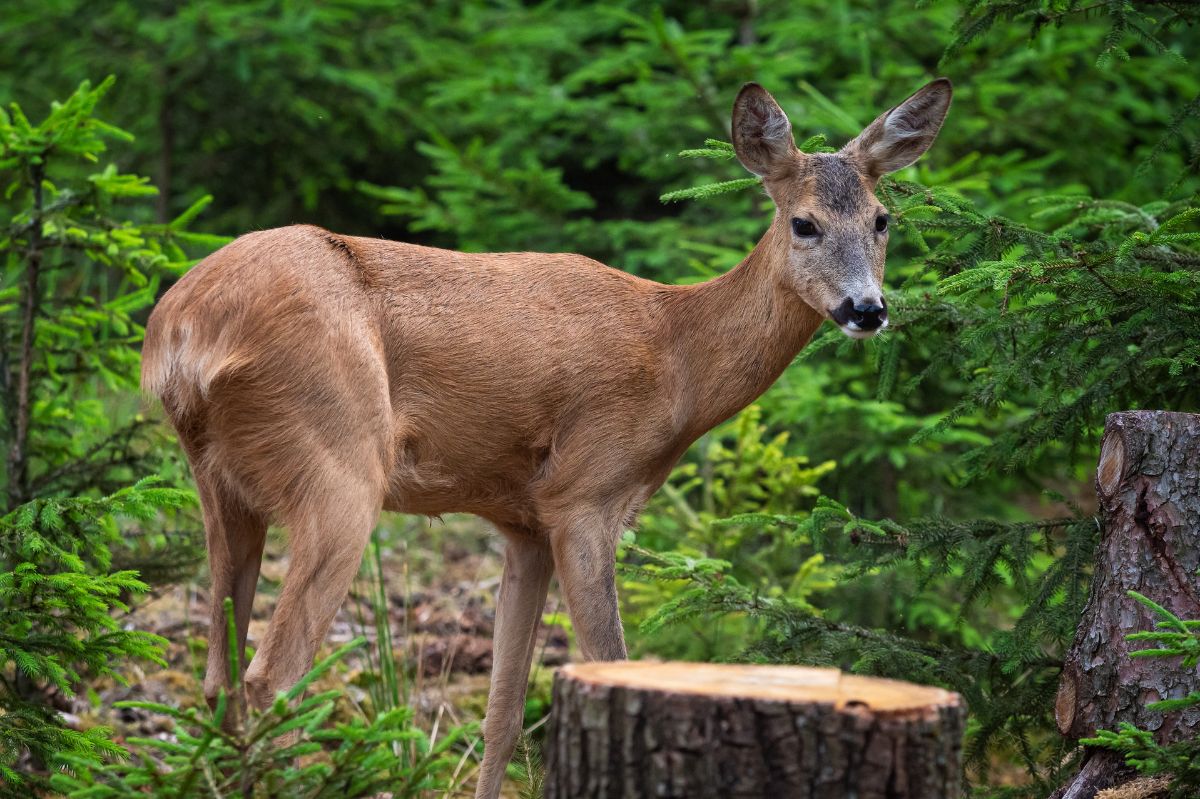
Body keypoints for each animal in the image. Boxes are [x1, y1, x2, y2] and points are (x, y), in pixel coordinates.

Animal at [140, 79, 950, 796]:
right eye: (804, 222)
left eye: (883, 219)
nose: (867, 309)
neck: (679, 357)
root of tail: (179, 330)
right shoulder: (584, 494)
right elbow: (612, 663)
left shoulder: (522, 522)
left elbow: (501, 715)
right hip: (338, 463)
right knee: (270, 679)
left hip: (221, 484)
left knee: (218, 678)